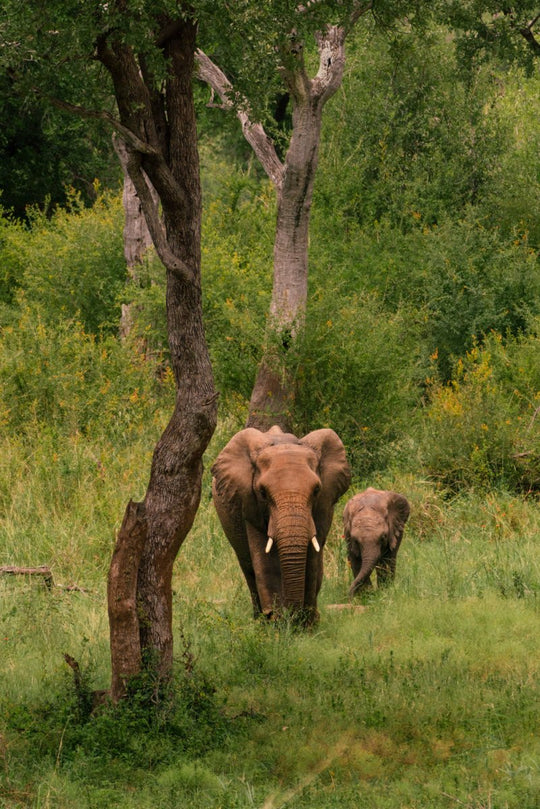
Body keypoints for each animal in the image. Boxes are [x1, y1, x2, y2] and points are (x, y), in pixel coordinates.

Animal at [211, 422, 350, 624]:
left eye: (317, 490)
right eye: (262, 492)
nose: (290, 614)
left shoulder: (322, 508)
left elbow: (312, 559)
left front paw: (306, 624)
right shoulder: (250, 504)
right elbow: (264, 560)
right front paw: (276, 623)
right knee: (248, 568)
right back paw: (260, 620)